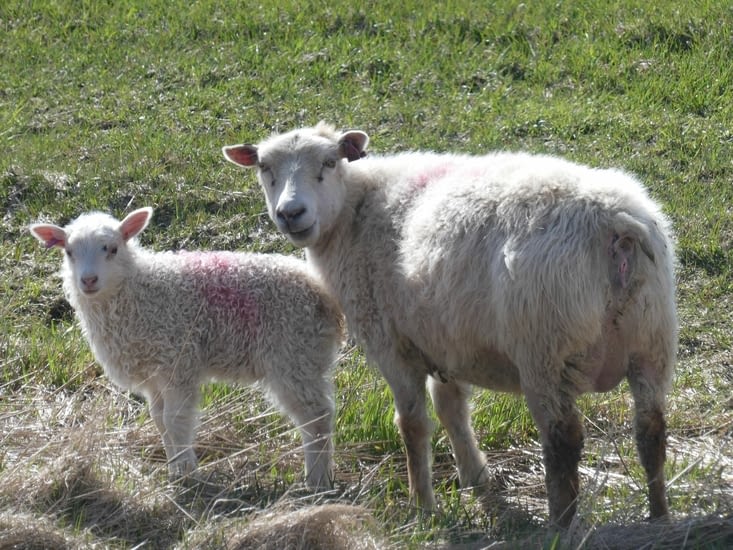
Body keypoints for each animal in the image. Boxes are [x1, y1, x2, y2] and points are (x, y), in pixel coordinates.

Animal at [29, 207, 344, 490]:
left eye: (112, 249)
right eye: (69, 252)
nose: (88, 280)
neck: (137, 292)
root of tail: (323, 295)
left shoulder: (177, 361)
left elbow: (175, 420)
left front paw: (186, 472)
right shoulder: (153, 374)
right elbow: (159, 421)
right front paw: (174, 469)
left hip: (294, 354)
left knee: (316, 417)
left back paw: (316, 481)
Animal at [222, 122, 678, 527]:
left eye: (330, 162)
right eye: (264, 167)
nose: (290, 213)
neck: (355, 212)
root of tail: (617, 226)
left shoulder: (391, 344)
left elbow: (412, 425)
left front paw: (422, 505)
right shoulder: (447, 340)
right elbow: (452, 409)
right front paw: (474, 476)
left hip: (546, 350)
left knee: (563, 440)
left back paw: (561, 525)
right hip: (652, 342)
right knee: (651, 430)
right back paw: (658, 516)